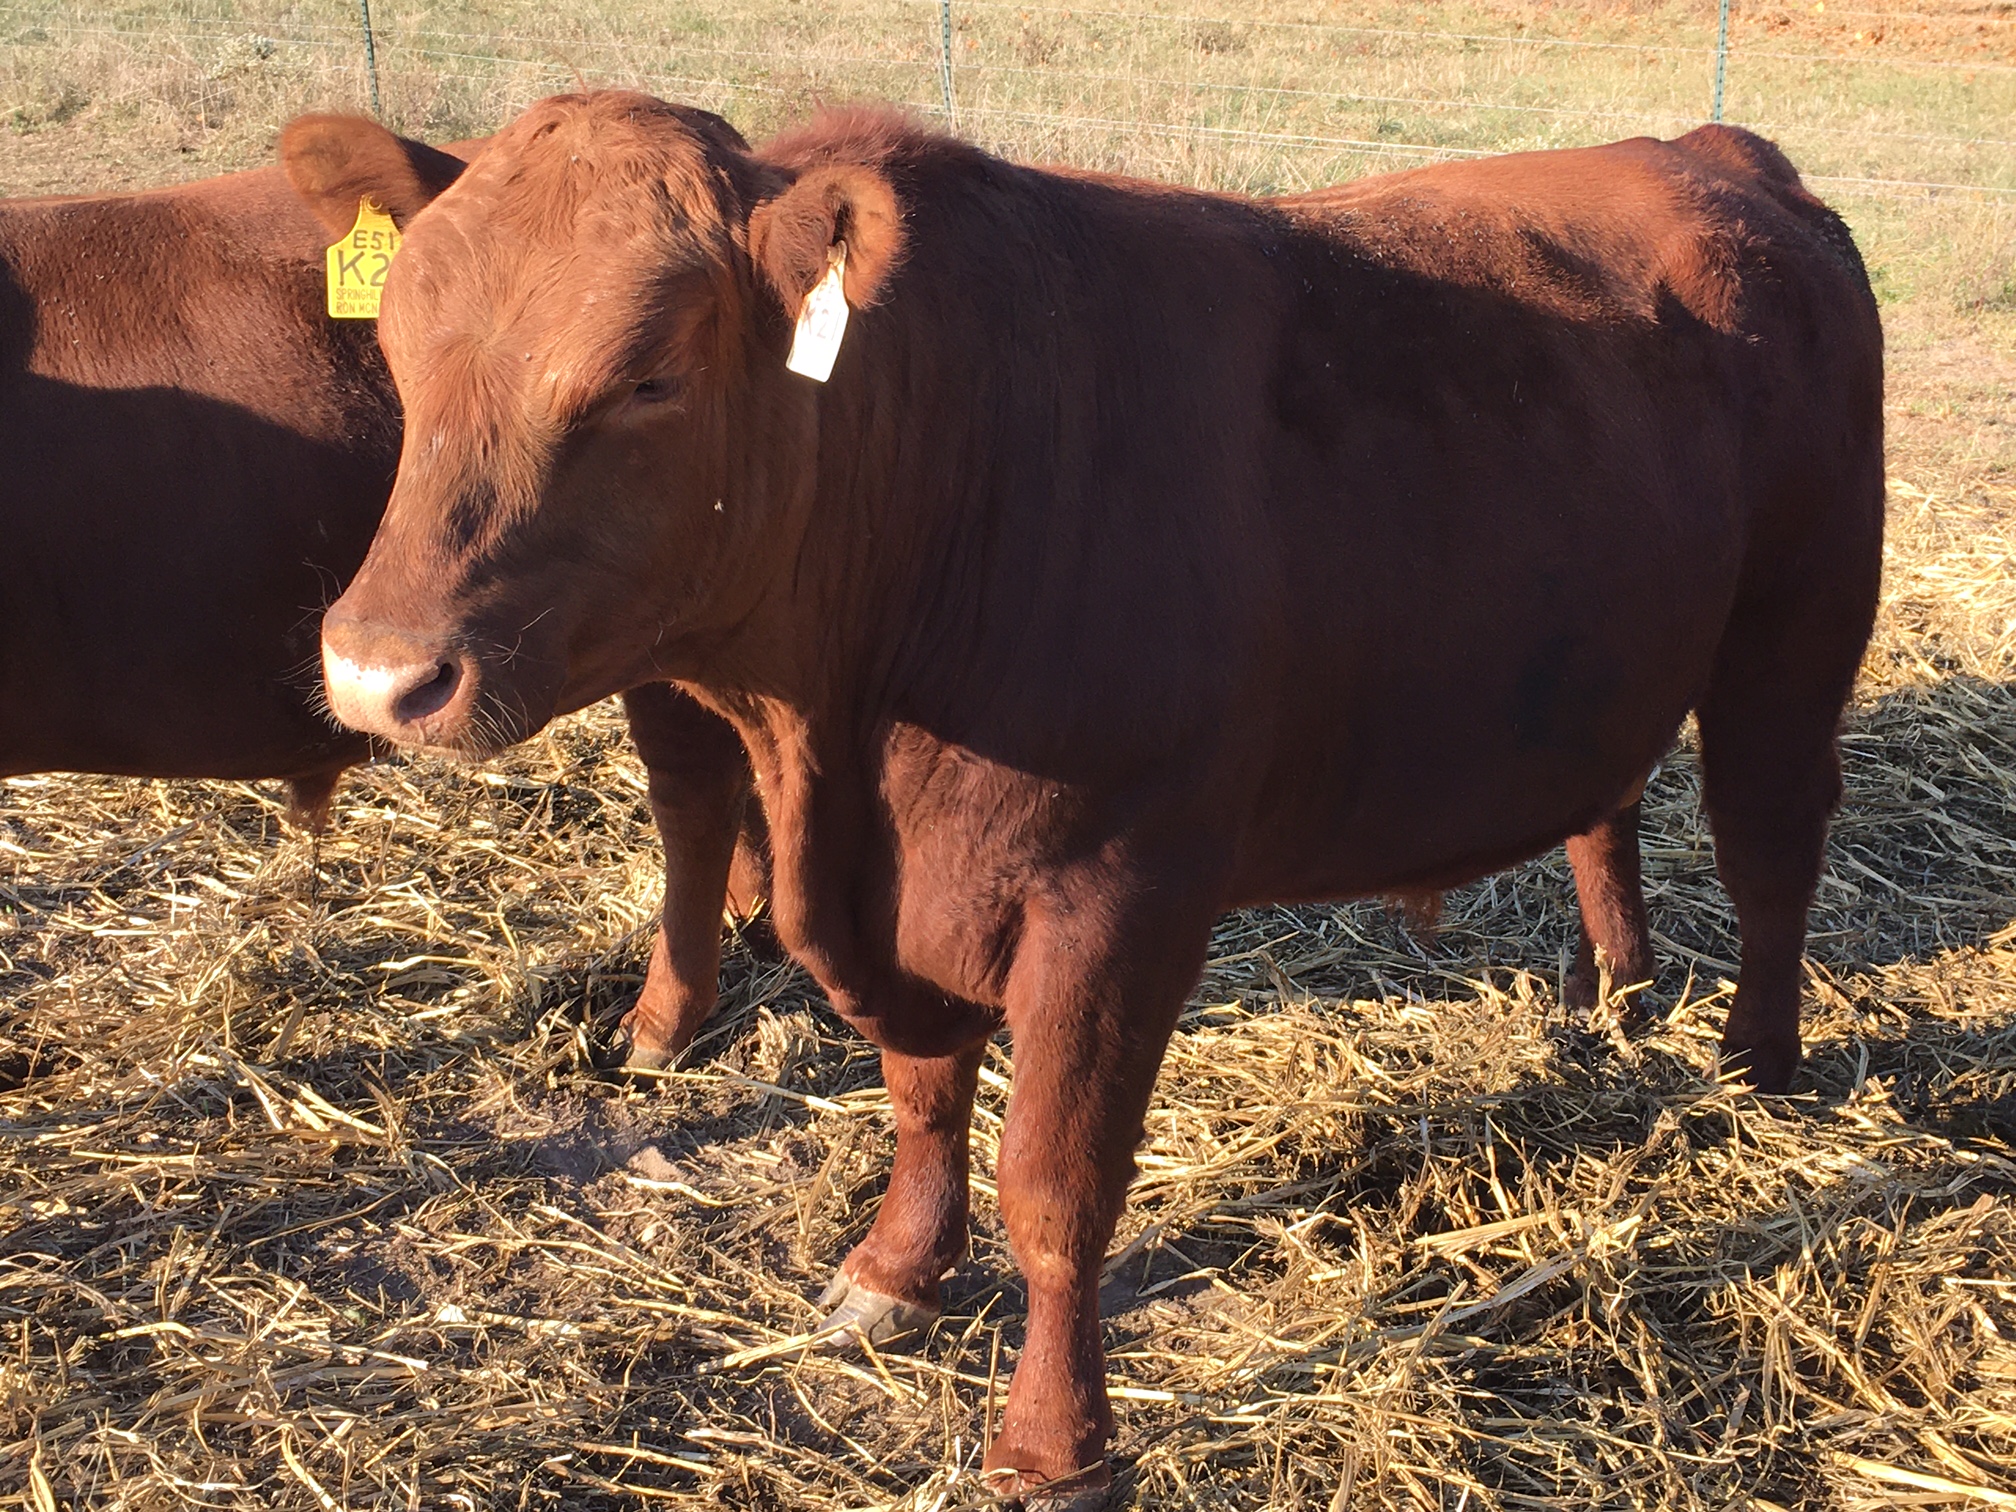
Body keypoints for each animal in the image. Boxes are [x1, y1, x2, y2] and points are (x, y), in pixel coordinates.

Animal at [306, 97, 1878, 1512]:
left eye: (643, 376)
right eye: (400, 345)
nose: (379, 670)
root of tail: (1715, 154)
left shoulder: (1117, 897)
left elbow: (1057, 1188)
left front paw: (1052, 1446)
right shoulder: (904, 896)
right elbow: (924, 1094)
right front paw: (894, 1271)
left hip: (1792, 639)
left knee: (1772, 842)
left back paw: (1757, 1060)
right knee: (1610, 805)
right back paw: (1616, 992)